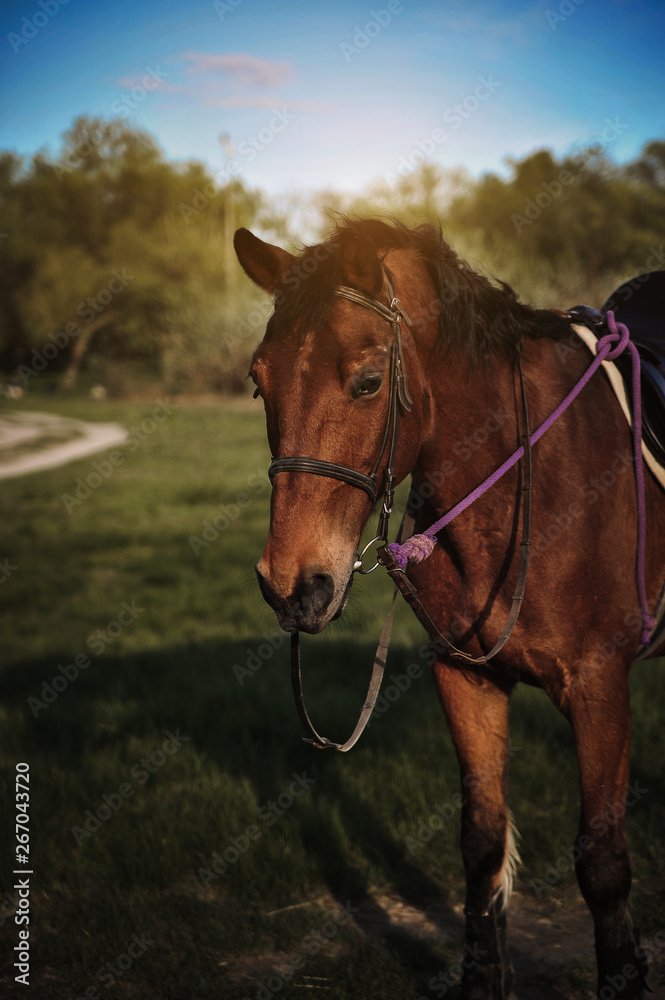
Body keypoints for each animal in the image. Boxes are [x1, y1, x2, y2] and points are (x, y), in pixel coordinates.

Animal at [233, 218, 663, 1000]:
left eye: (368, 381)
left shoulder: (598, 685)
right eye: (259, 383)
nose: (291, 585)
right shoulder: (466, 678)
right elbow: (482, 843)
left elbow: (603, 864)